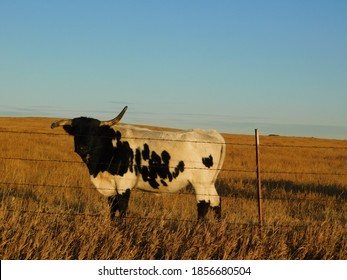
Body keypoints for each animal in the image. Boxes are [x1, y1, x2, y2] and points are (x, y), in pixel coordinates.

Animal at [50, 106, 227, 222]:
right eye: (75, 131)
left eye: (94, 132)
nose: (82, 147)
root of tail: (212, 133)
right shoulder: (111, 186)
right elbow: (112, 209)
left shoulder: (124, 184)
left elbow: (122, 209)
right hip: (209, 183)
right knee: (216, 202)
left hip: (200, 183)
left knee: (203, 206)